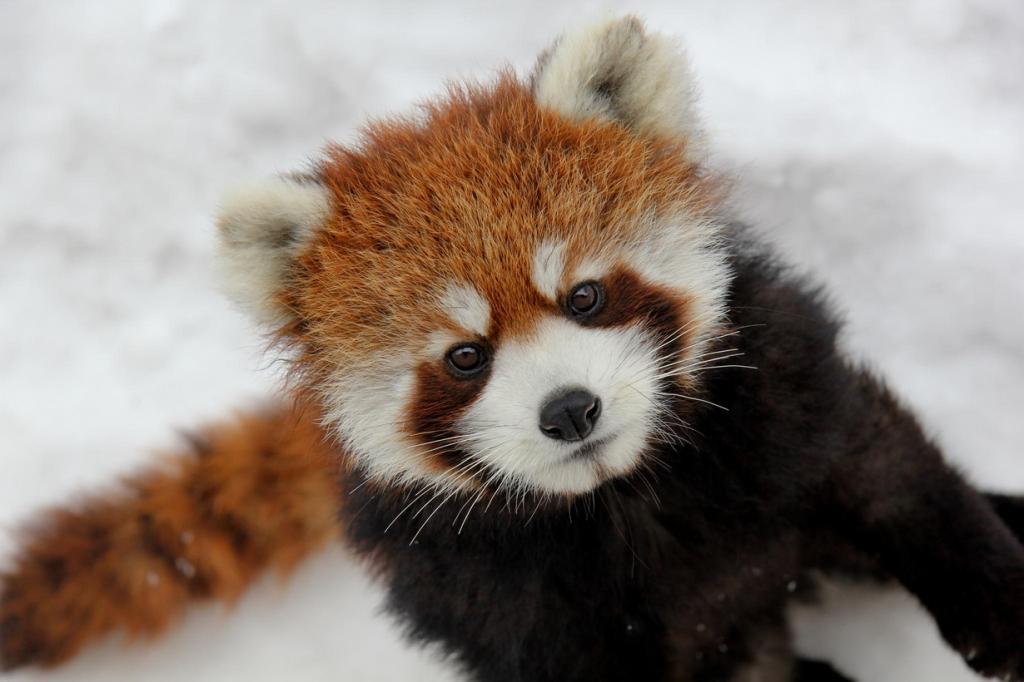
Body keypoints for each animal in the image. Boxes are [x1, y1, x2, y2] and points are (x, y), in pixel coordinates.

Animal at [2, 14, 1024, 679]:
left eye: (584, 295)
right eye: (466, 356)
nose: (569, 410)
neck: (632, 501)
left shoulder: (780, 392)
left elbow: (892, 473)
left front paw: (998, 600)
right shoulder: (515, 614)